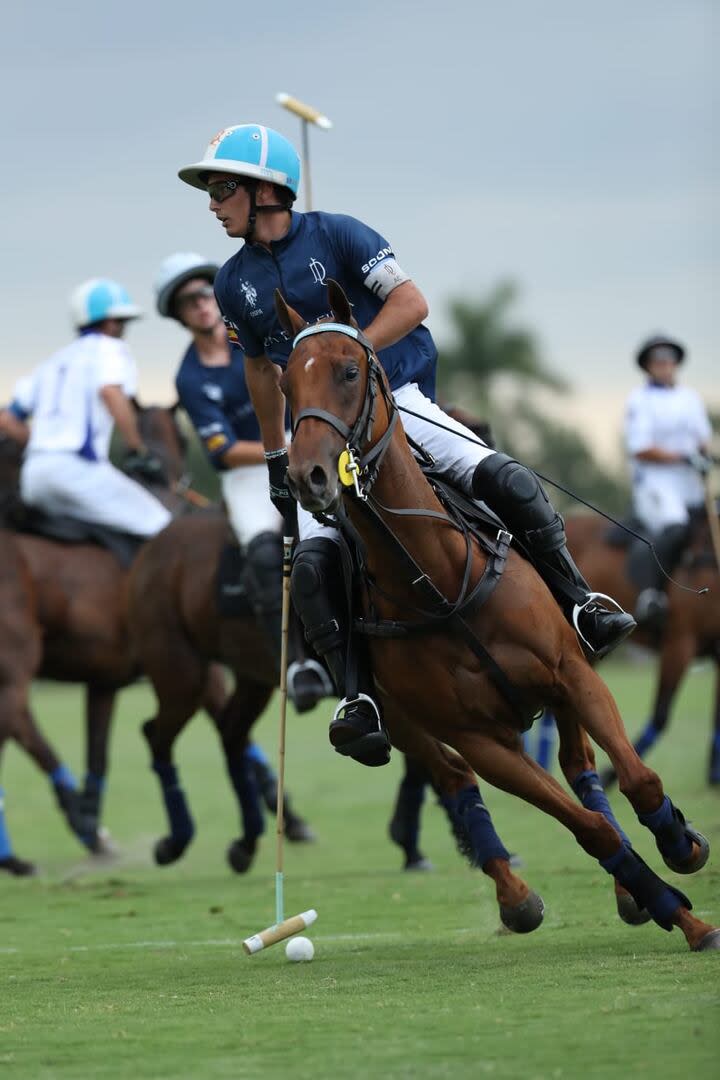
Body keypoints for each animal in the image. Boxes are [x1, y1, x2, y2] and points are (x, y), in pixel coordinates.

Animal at [276, 280, 720, 954]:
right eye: (285, 385)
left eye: (350, 371)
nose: (308, 476)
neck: (437, 583)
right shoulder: (480, 740)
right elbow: (587, 830)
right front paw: (678, 912)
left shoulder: (571, 671)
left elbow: (637, 779)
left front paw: (681, 847)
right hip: (407, 722)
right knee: (457, 777)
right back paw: (522, 898)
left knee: (581, 767)